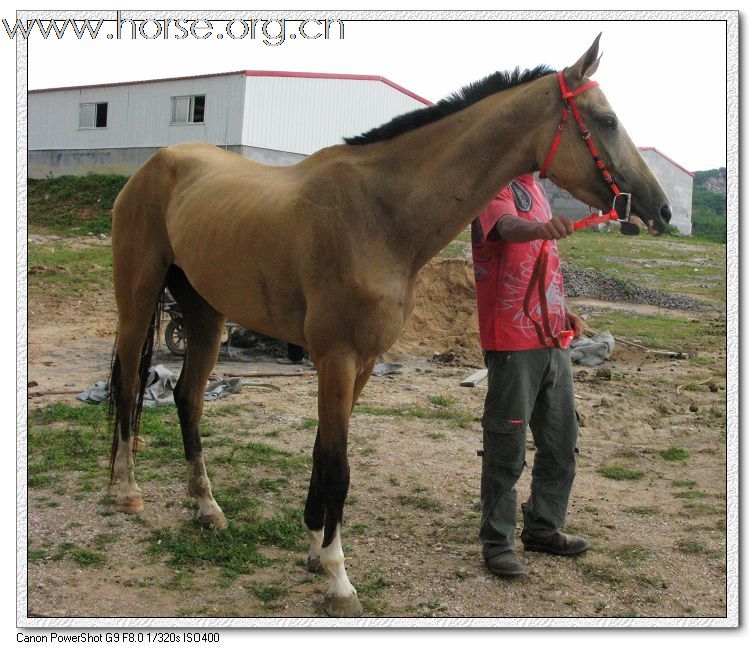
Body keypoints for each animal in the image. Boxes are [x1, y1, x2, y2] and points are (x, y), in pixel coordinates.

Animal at [108, 36, 672, 616]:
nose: (660, 209)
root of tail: (156, 163)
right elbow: (338, 466)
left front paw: (314, 547)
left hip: (206, 312)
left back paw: (207, 508)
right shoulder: (336, 357)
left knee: (188, 398)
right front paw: (338, 579)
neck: (380, 214)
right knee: (127, 386)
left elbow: (323, 453)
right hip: (137, 300)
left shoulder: (364, 362)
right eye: (605, 120)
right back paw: (127, 493)